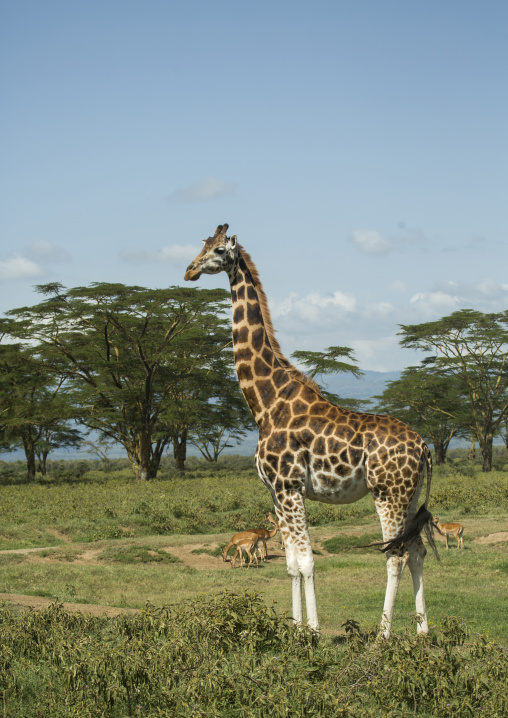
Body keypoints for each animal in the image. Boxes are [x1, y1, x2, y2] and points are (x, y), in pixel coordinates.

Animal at [185, 223, 438, 638]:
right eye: (201, 245)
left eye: (219, 250)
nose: (189, 270)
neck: (266, 404)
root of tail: (425, 447)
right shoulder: (276, 493)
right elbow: (291, 564)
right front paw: (296, 629)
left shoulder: (289, 487)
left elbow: (306, 562)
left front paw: (314, 633)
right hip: (410, 495)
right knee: (416, 551)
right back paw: (422, 634)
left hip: (388, 494)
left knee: (395, 556)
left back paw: (383, 638)